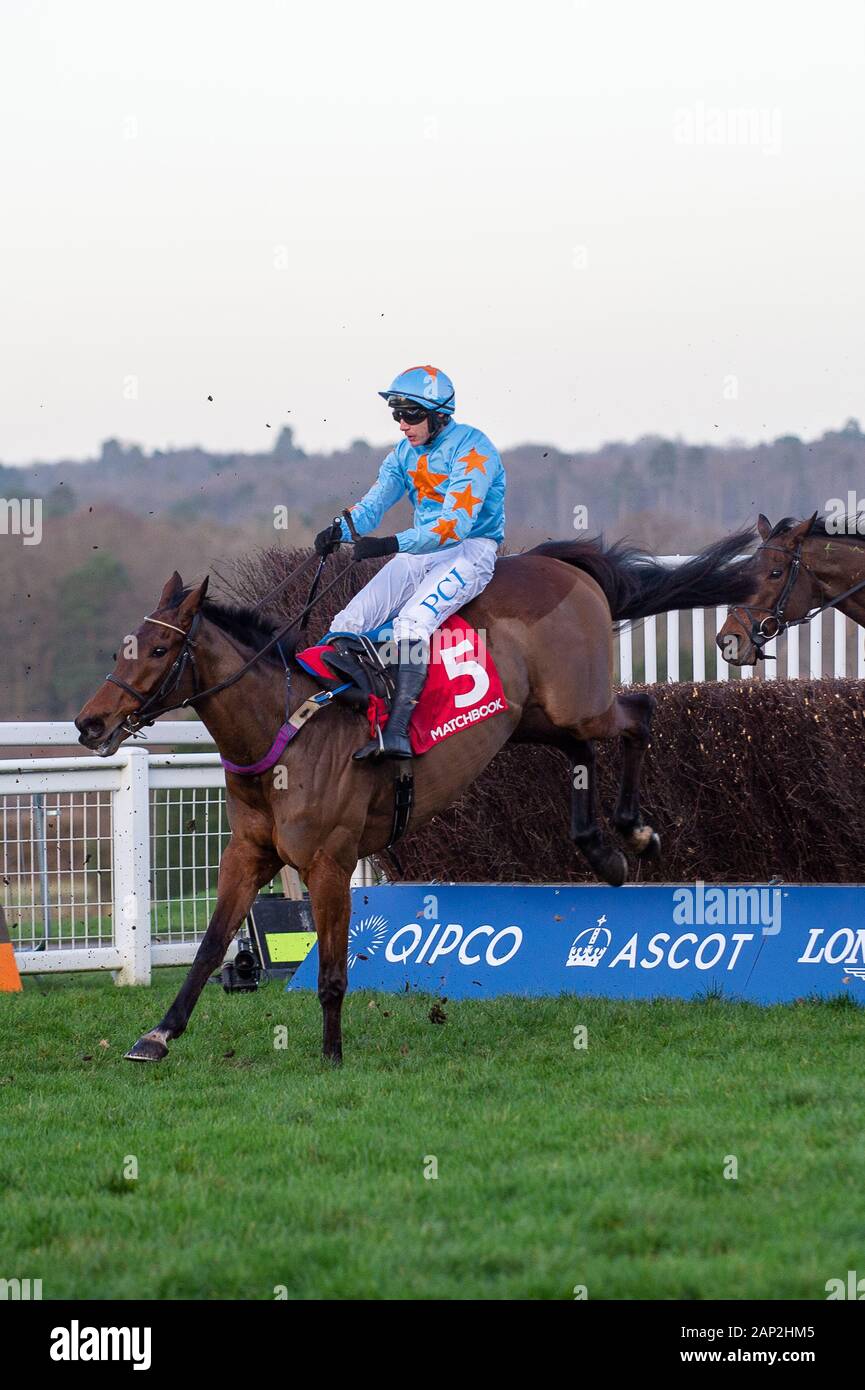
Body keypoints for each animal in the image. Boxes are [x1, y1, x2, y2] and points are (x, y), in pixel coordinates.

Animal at [76, 530, 756, 1061]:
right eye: (121, 648)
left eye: (160, 649)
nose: (90, 723)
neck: (288, 728)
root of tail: (561, 565)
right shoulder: (248, 853)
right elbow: (211, 944)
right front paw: (159, 1034)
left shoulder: (330, 863)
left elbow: (332, 970)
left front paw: (331, 1054)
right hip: (532, 717)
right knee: (583, 752)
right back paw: (602, 850)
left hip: (576, 701)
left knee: (638, 715)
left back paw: (636, 831)